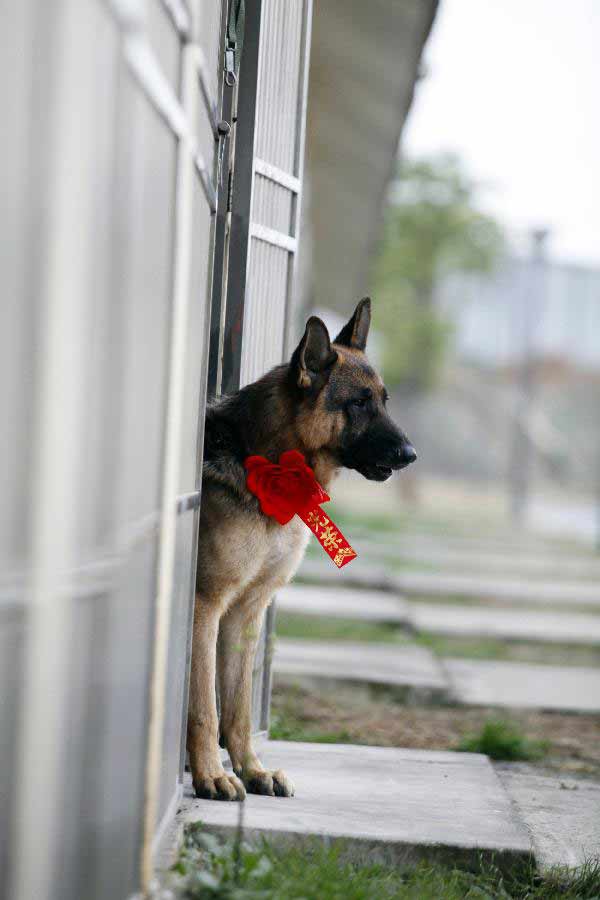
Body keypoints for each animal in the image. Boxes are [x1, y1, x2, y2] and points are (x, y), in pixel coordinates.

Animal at [188, 298, 418, 800]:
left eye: (384, 400)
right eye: (359, 403)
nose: (411, 454)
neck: (267, 460)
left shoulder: (245, 614)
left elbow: (237, 708)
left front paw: (252, 769)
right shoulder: (204, 608)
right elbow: (204, 707)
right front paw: (212, 774)